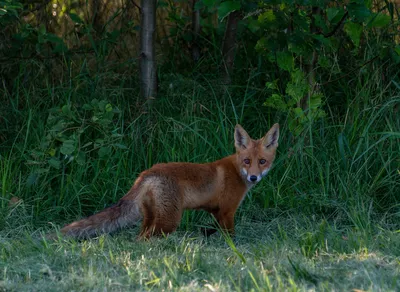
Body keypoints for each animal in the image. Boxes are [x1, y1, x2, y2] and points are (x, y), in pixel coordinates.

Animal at [60, 124, 278, 240]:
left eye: (262, 161)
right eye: (247, 161)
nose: (253, 177)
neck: (235, 169)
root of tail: (147, 172)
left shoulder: (216, 212)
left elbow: (213, 229)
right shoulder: (227, 211)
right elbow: (230, 235)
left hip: (149, 218)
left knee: (140, 237)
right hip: (169, 221)